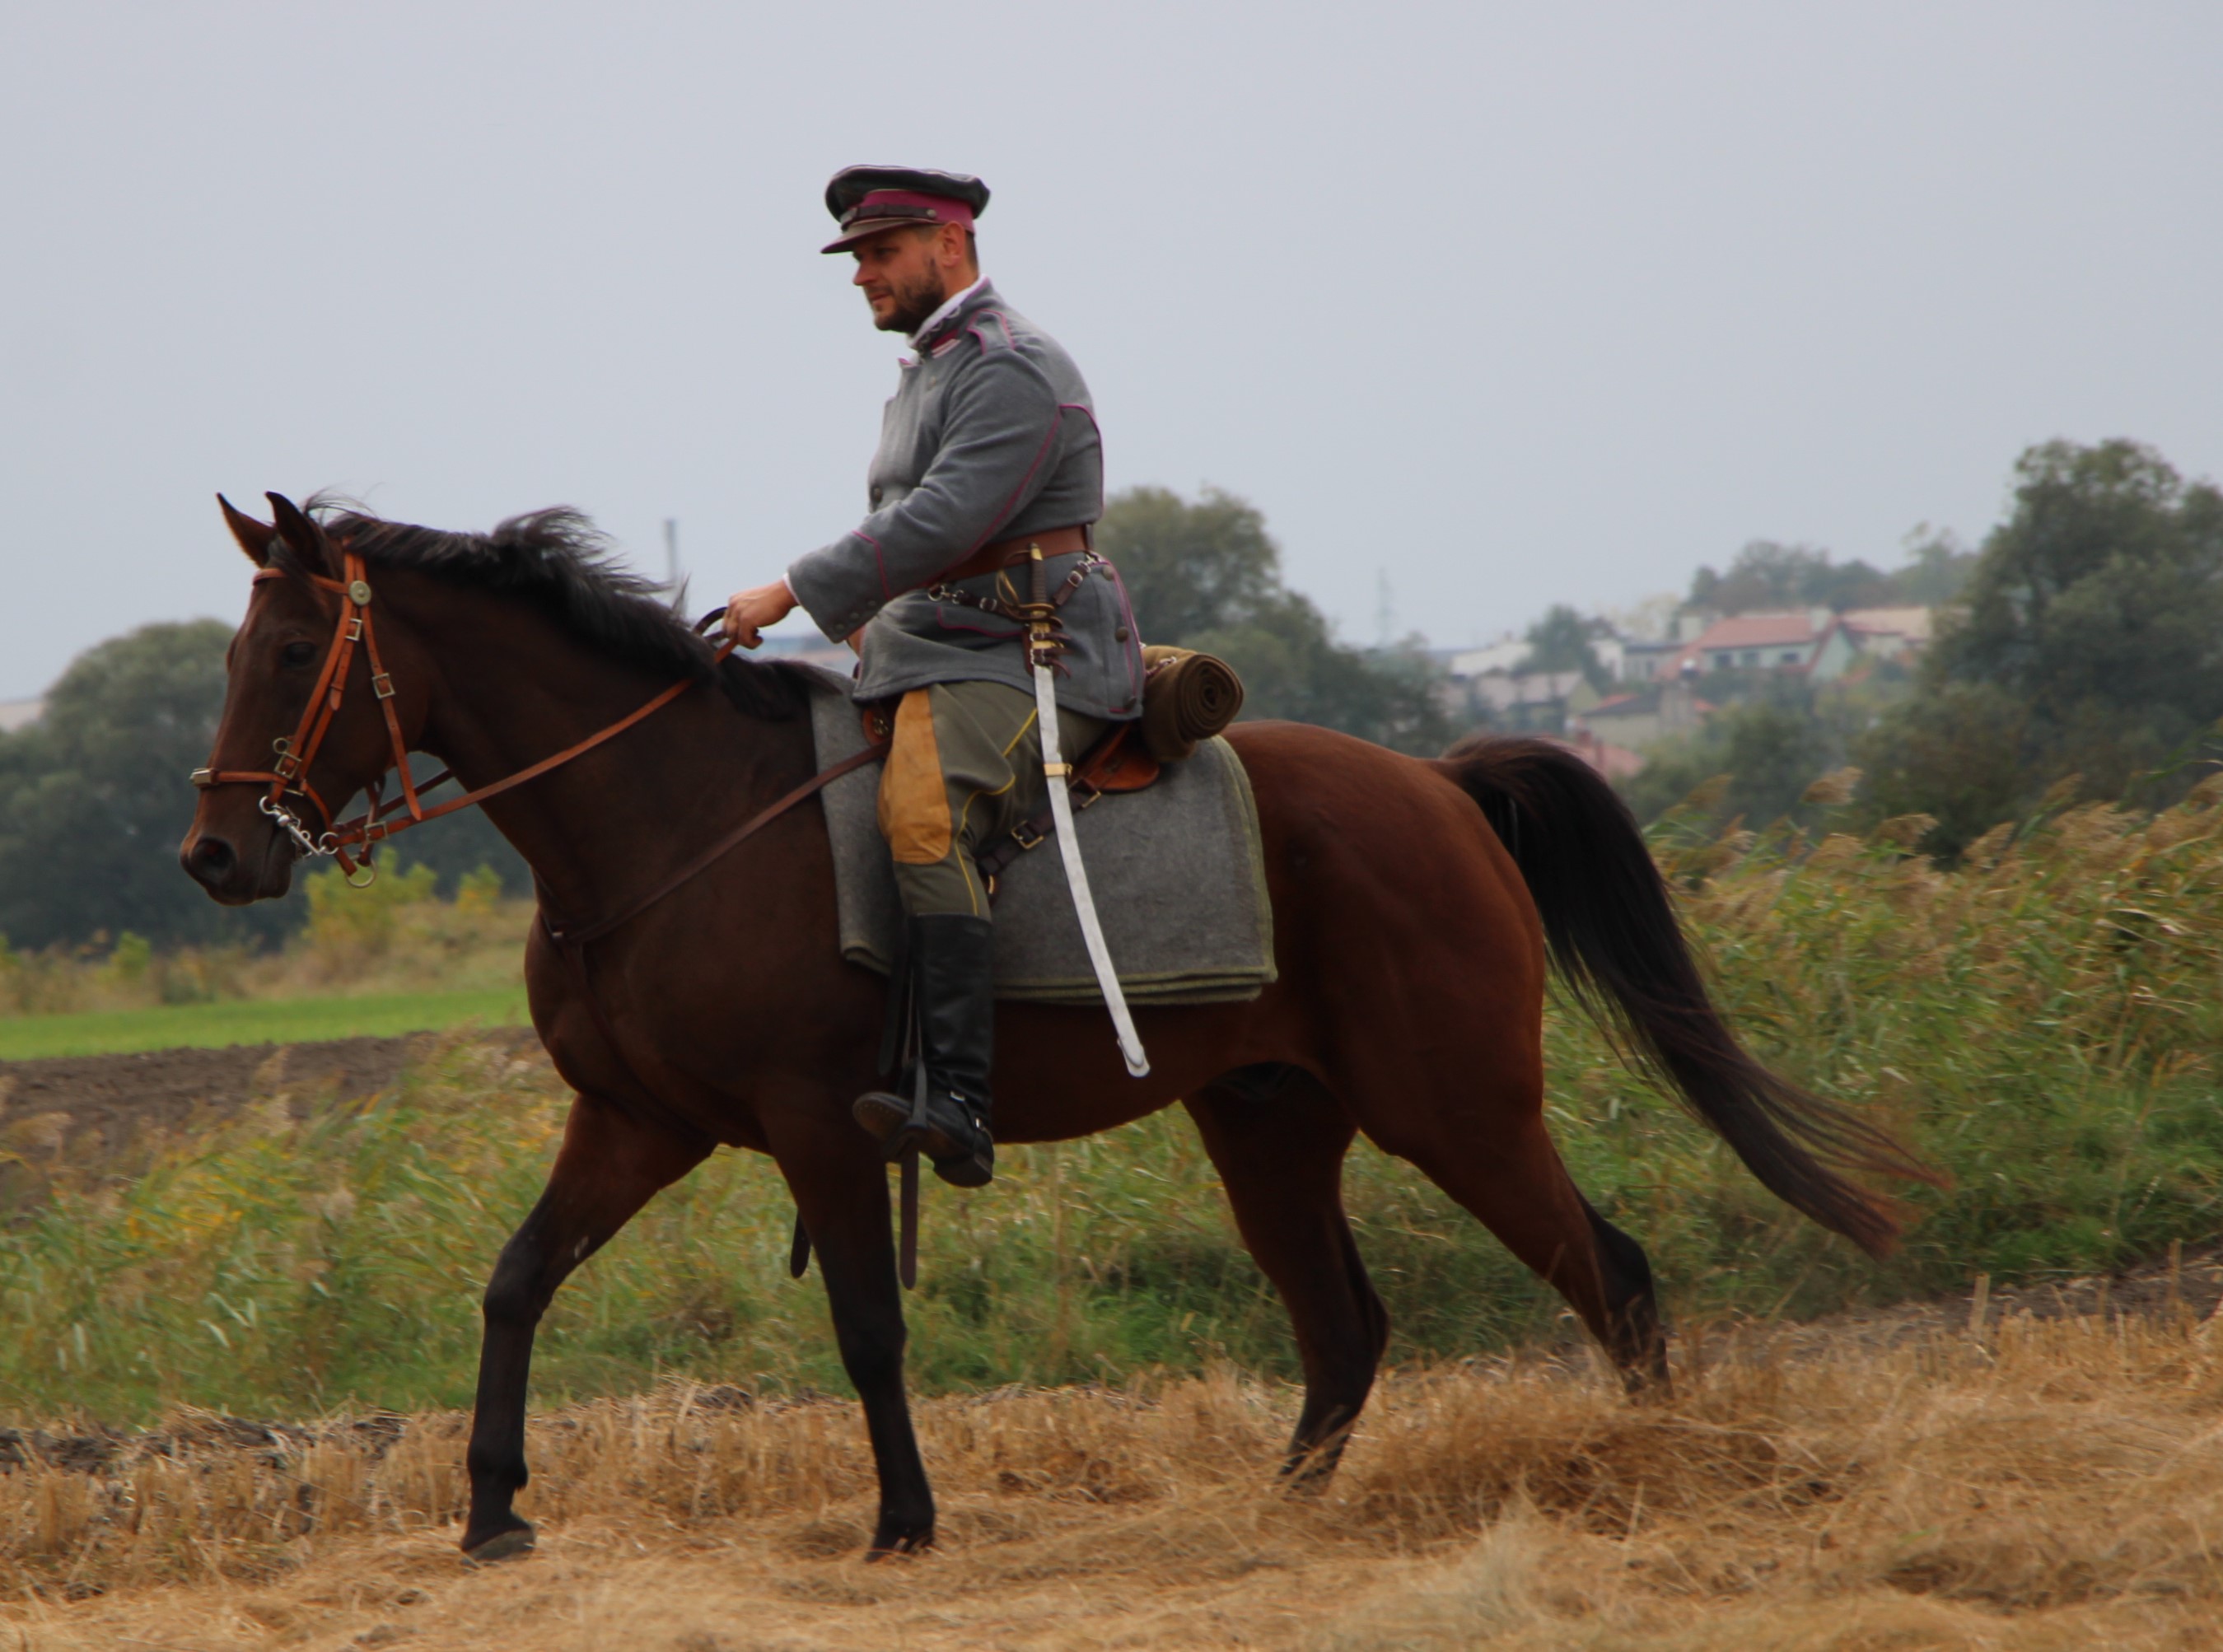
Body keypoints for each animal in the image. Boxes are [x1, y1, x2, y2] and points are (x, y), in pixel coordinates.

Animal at [182, 493, 1938, 1565]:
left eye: (294, 650)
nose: (213, 856)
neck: (665, 817)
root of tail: (1439, 785)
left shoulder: (819, 1128)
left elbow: (865, 1330)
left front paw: (900, 1521)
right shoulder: (636, 1124)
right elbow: (515, 1280)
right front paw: (491, 1510)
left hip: (1458, 1110)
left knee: (1607, 1276)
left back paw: (1653, 1483)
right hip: (1269, 1122)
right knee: (1342, 1329)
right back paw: (1275, 1517)